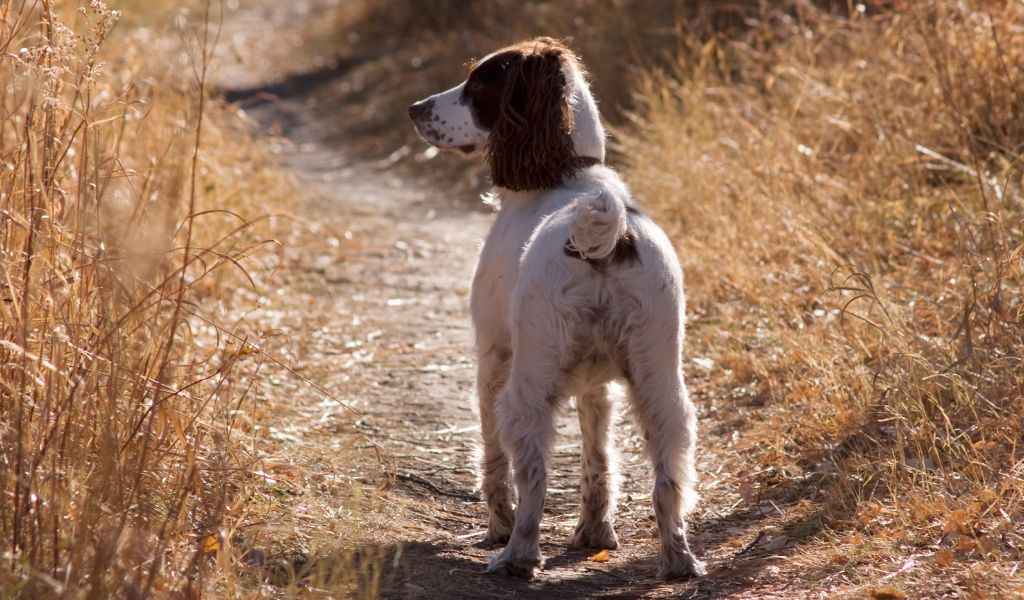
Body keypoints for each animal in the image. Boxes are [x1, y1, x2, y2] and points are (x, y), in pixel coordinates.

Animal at [407, 37, 704, 577]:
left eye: (479, 83)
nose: (415, 109)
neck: (568, 172)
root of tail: (603, 237)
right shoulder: (598, 386)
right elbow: (597, 457)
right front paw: (595, 533)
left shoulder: (493, 358)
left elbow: (493, 459)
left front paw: (497, 526)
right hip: (660, 382)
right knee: (668, 479)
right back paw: (678, 559)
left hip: (529, 382)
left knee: (532, 473)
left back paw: (516, 554)